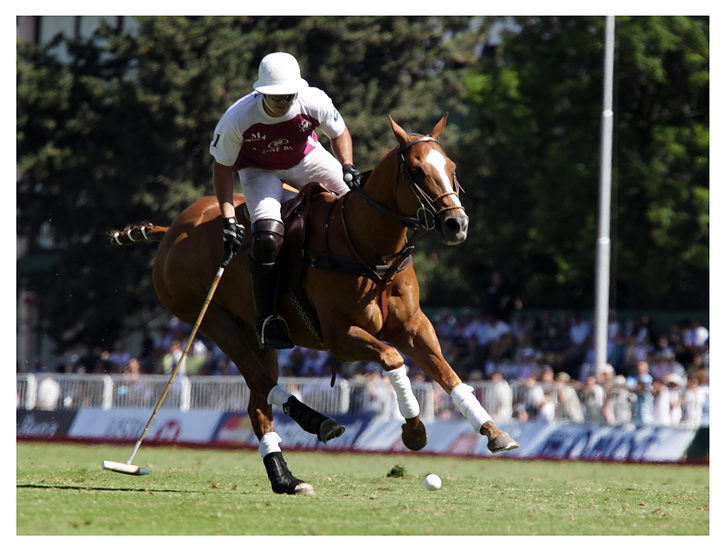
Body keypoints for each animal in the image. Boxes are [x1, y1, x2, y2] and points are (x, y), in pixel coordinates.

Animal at [109, 114, 519, 495]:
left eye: (451, 167)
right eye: (417, 170)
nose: (457, 224)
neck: (369, 246)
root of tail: (172, 231)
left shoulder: (415, 326)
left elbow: (449, 375)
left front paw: (493, 431)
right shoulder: (340, 336)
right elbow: (392, 359)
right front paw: (414, 430)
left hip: (258, 335)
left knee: (258, 402)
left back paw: (286, 479)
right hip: (212, 322)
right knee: (264, 382)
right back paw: (319, 423)